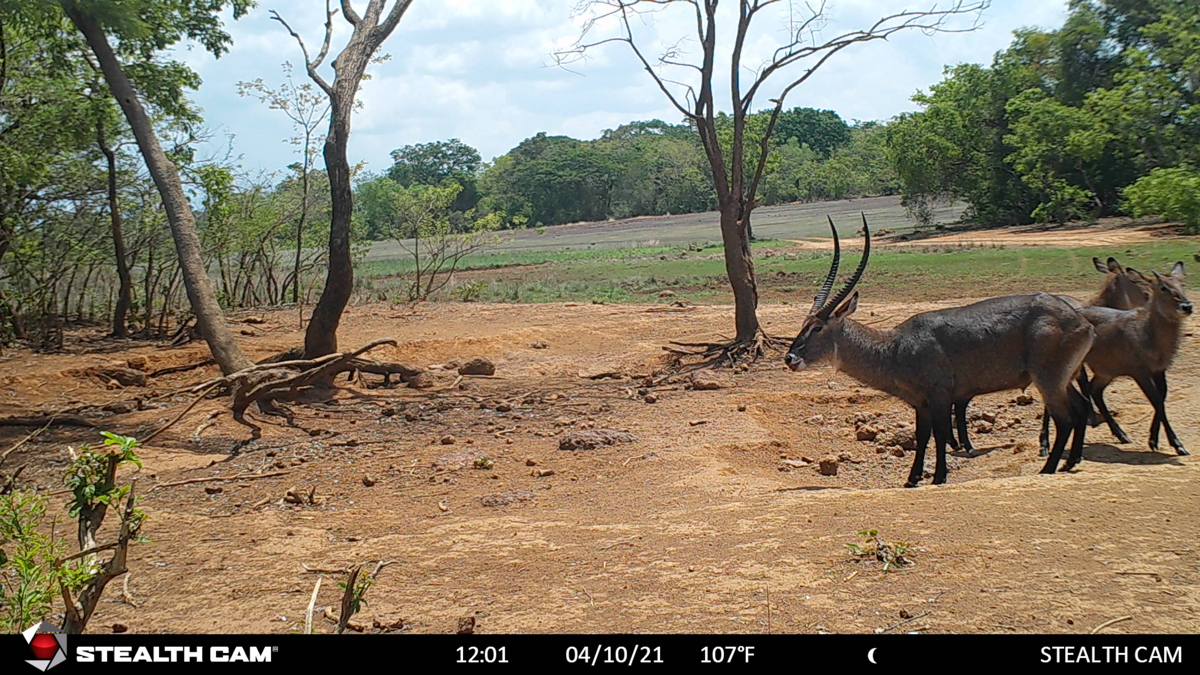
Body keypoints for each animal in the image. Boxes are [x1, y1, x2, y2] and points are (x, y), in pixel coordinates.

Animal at [787, 214, 1099, 482]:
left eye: (817, 327)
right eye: (804, 323)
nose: (790, 358)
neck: (894, 346)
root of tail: (1081, 320)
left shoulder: (939, 397)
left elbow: (939, 434)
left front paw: (938, 477)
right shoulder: (921, 404)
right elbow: (922, 436)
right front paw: (912, 479)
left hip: (1048, 380)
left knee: (1065, 419)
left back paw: (1048, 469)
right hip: (1064, 380)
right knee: (1081, 408)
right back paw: (1070, 462)